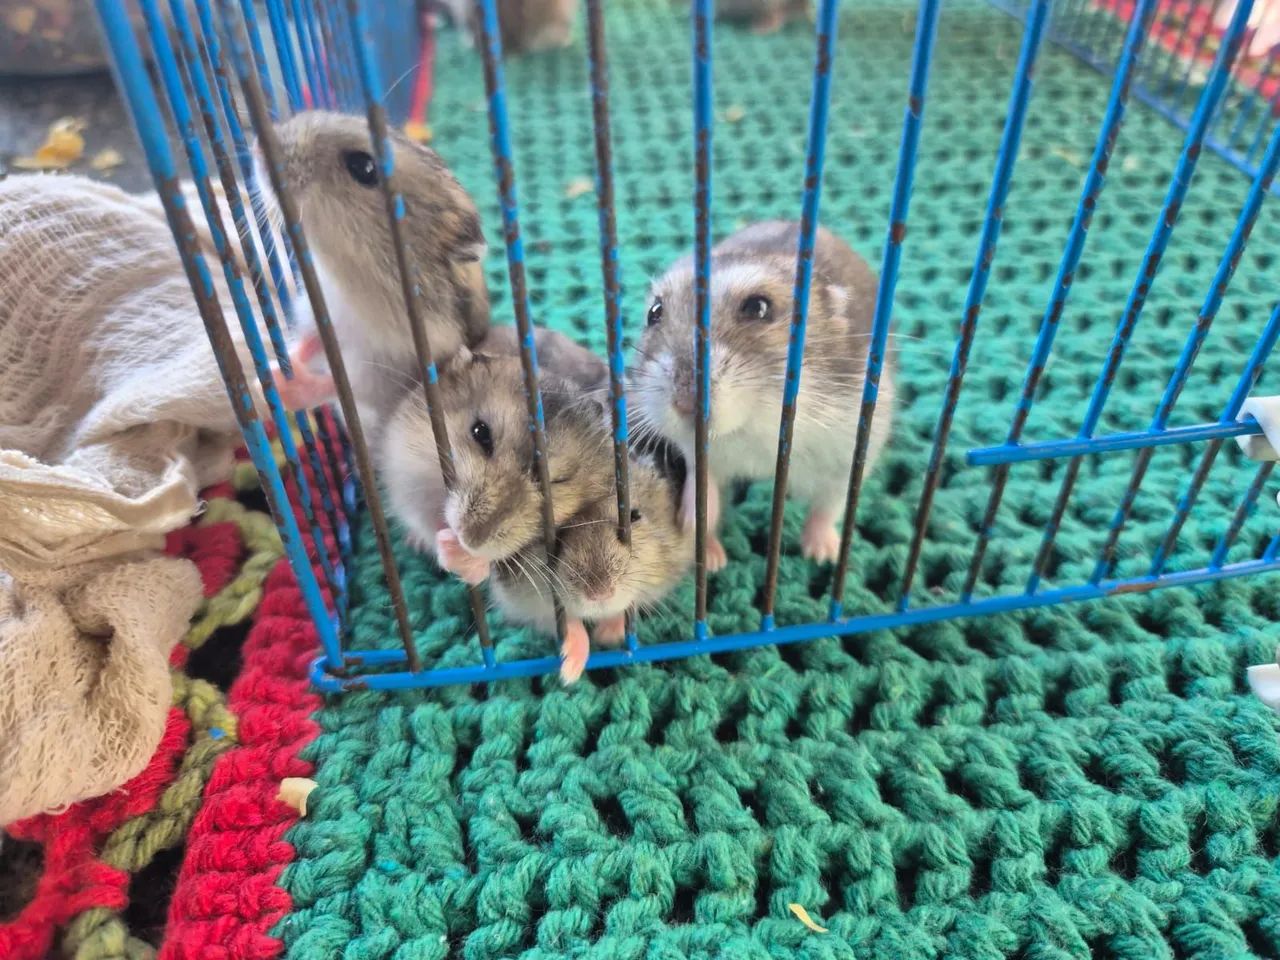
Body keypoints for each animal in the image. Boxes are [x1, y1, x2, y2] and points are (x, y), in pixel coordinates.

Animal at [256, 111, 488, 428]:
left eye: (364, 167)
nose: (256, 145)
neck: (348, 279)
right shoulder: (321, 316)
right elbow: (311, 341)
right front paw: (273, 368)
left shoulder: (382, 371)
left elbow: (338, 385)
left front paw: (276, 382)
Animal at [490, 439, 692, 683]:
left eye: (634, 516)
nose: (599, 594)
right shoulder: (521, 602)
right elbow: (564, 621)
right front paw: (569, 673)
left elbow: (631, 604)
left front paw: (606, 636)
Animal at [629, 220, 894, 569]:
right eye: (654, 312)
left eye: (758, 307)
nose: (684, 404)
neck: (755, 429)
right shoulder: (699, 452)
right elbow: (703, 484)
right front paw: (697, 536)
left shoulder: (849, 452)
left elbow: (829, 504)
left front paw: (821, 554)